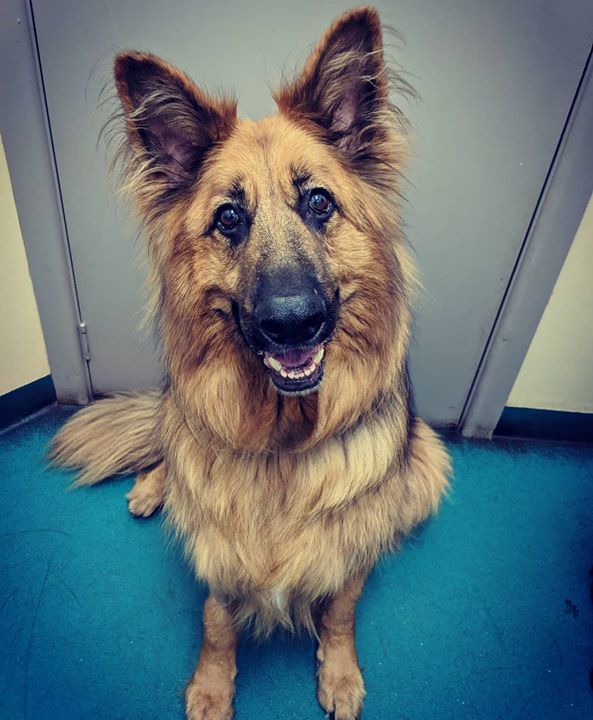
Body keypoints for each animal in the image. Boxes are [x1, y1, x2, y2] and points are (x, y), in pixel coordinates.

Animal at [51, 7, 448, 720]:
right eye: (229, 218)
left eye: (319, 203)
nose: (292, 322)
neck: (283, 443)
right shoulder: (219, 546)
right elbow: (216, 620)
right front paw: (211, 686)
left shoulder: (351, 552)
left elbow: (341, 610)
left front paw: (339, 674)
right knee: (168, 451)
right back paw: (153, 488)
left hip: (428, 461)